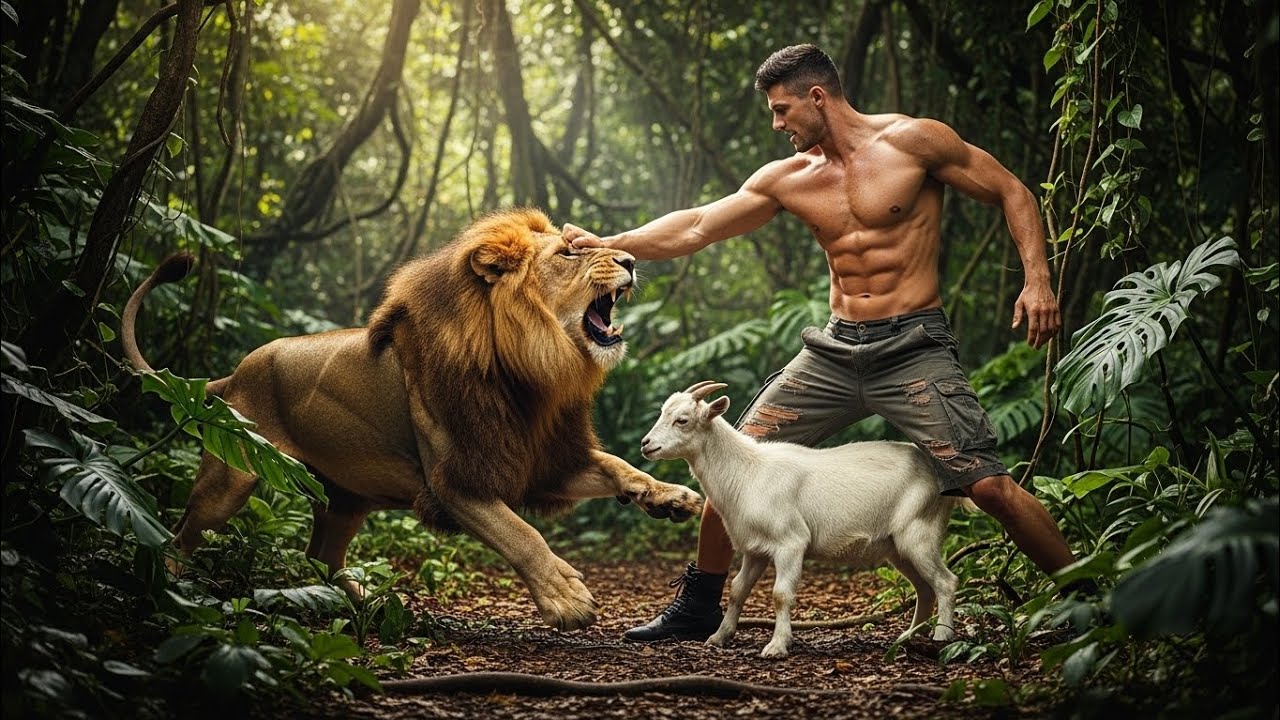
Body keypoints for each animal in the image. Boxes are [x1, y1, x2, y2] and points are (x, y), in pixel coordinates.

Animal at [121, 208, 703, 631]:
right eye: (569, 253)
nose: (630, 259)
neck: (532, 368)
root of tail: (228, 378)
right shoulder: (456, 481)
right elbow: (522, 535)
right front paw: (566, 597)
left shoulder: (541, 460)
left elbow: (616, 466)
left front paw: (670, 496)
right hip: (232, 474)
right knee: (180, 534)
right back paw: (170, 591)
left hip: (344, 498)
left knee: (320, 557)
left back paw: (369, 604)